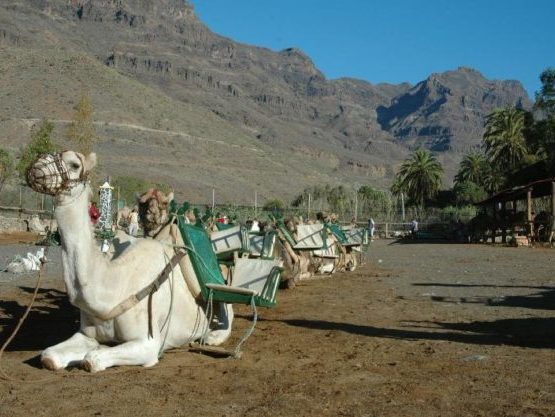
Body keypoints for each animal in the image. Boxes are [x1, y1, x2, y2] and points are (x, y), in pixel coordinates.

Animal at [26, 151, 232, 372]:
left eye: (74, 164)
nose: (35, 168)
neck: (114, 290)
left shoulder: (148, 342)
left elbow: (92, 359)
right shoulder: (86, 334)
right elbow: (49, 356)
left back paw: (213, 336)